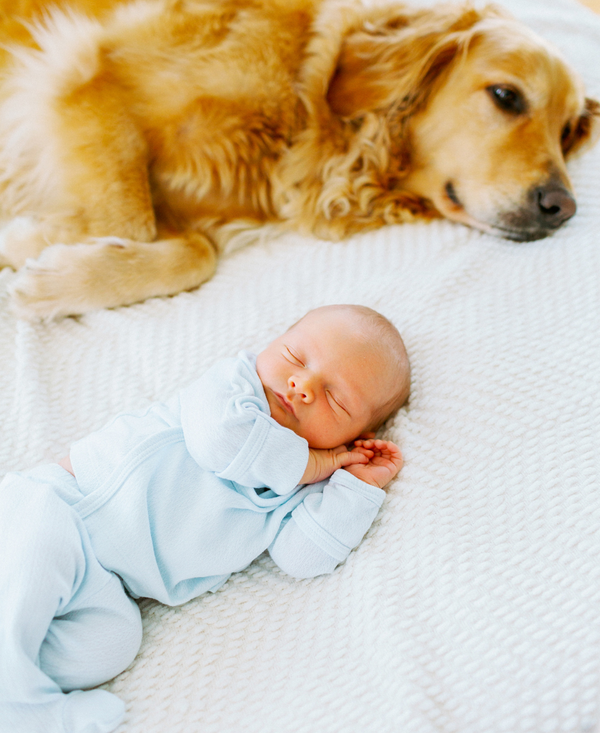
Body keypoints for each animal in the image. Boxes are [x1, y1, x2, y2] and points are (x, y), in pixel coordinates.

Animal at [0, 0, 596, 318]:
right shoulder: (88, 72)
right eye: (506, 96)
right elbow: (131, 221)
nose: (562, 208)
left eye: (567, 131)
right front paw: (38, 248)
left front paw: (49, 258)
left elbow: (194, 252)